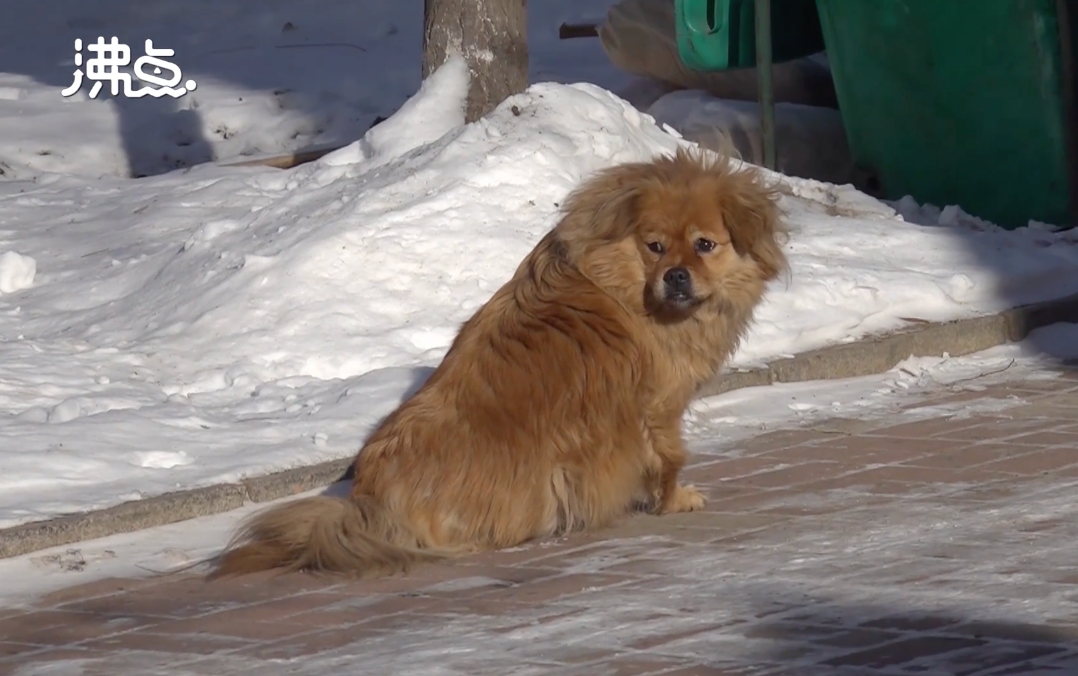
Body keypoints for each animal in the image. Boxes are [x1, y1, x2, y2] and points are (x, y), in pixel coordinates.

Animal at [210, 146, 784, 577]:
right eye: (656, 247)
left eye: (705, 245)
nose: (676, 276)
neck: (621, 284)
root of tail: (371, 507)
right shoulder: (660, 408)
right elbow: (668, 460)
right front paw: (676, 499)